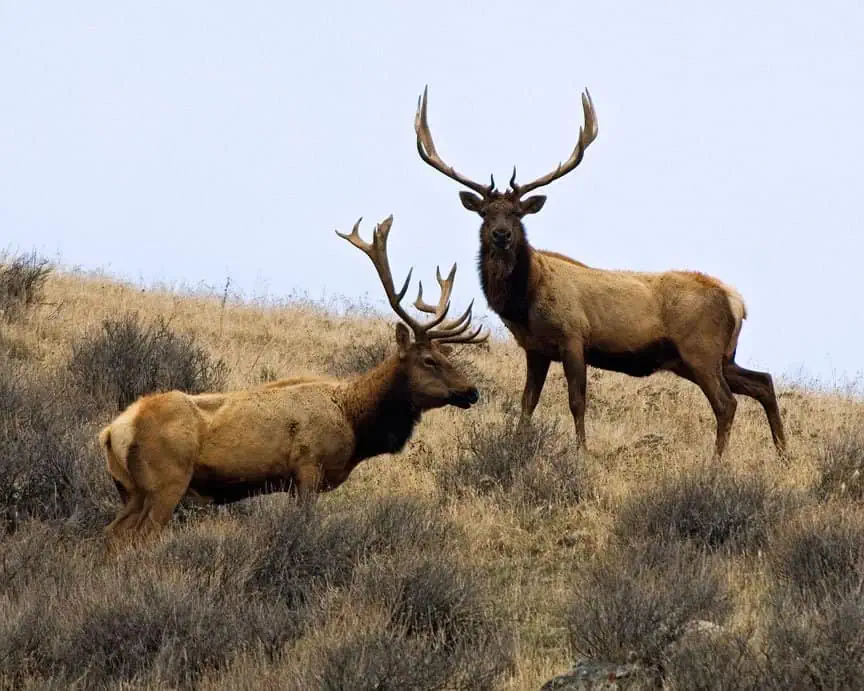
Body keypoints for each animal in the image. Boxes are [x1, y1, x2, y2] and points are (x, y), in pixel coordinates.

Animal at [98, 215, 488, 544]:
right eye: (429, 360)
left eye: (448, 356)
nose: (471, 391)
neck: (355, 423)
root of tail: (114, 431)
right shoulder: (308, 468)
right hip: (167, 481)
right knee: (137, 536)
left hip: (130, 489)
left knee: (112, 534)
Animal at [414, 86, 786, 459]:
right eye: (486, 213)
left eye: (518, 213)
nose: (501, 234)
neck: (525, 301)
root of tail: (736, 301)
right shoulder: (535, 348)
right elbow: (527, 402)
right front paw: (516, 444)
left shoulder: (574, 337)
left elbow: (577, 401)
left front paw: (581, 451)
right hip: (716, 356)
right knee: (763, 381)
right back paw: (782, 453)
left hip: (701, 350)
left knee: (727, 402)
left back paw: (717, 461)